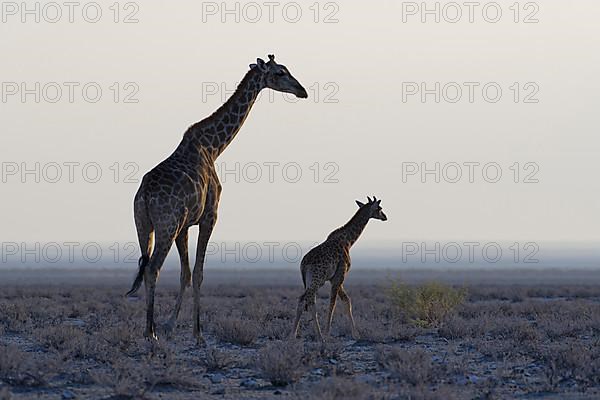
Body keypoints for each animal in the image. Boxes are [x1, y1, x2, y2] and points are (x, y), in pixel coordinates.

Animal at [125, 54, 308, 346]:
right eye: (280, 72)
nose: (302, 91)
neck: (214, 147)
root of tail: (144, 196)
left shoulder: (184, 226)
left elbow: (186, 274)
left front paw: (171, 326)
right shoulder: (209, 216)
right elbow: (199, 274)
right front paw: (198, 333)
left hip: (144, 225)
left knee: (144, 268)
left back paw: (150, 329)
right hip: (165, 226)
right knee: (153, 268)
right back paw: (150, 332)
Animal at [292, 197, 390, 340]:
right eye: (379, 208)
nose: (385, 217)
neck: (349, 241)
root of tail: (303, 264)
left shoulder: (335, 278)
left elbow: (346, 301)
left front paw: (356, 334)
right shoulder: (339, 275)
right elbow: (333, 304)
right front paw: (327, 333)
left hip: (311, 280)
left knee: (306, 300)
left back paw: (301, 335)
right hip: (317, 279)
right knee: (307, 300)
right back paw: (310, 336)